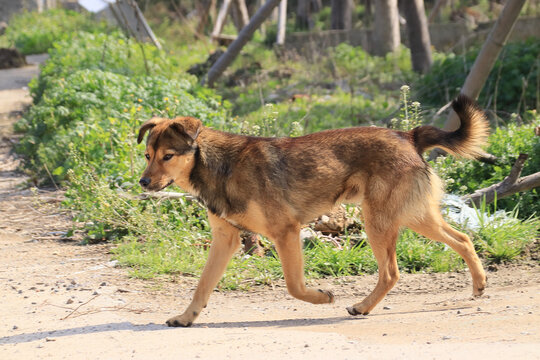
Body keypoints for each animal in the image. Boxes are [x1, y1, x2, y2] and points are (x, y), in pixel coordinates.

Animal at [137, 94, 488, 328]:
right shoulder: (226, 239)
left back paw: (362, 307)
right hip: (414, 217)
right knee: (463, 240)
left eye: (168, 156)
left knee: (391, 272)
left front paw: (322, 296)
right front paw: (186, 317)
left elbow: (294, 286)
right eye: (147, 155)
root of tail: (408, 135)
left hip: (378, 221)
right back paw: (479, 284)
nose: (143, 182)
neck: (216, 164)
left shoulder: (285, 232)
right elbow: (202, 286)